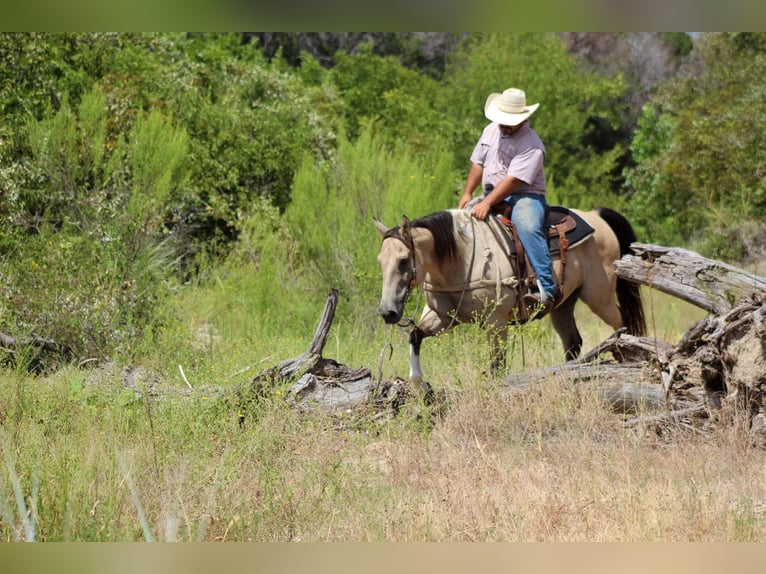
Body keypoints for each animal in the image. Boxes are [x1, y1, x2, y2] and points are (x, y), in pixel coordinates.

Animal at [374, 207, 646, 385]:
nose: (387, 312)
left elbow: (497, 364)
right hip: (563, 304)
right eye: (380, 261)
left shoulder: (496, 322)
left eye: (403, 260)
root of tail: (595, 215)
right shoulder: (443, 318)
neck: (460, 257)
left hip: (599, 297)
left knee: (623, 325)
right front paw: (417, 381)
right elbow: (415, 335)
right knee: (573, 342)